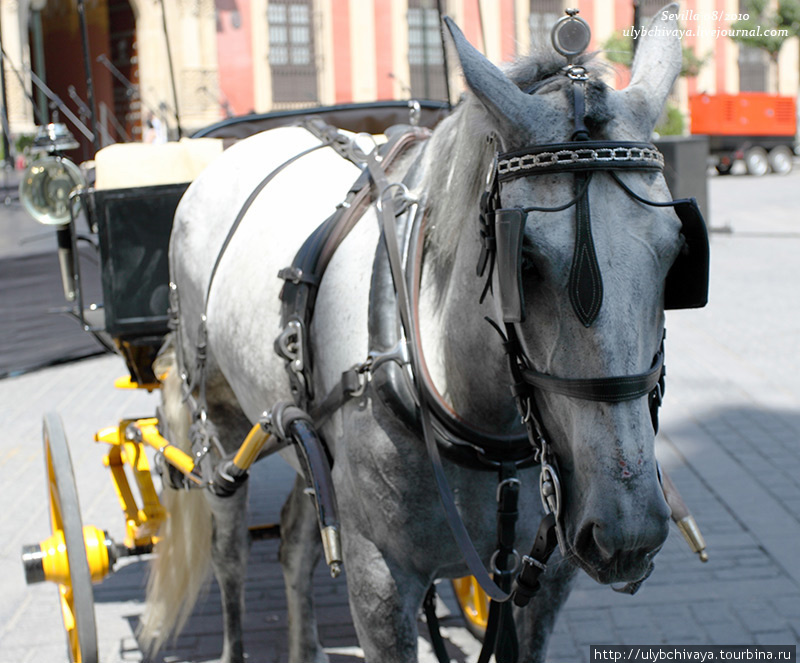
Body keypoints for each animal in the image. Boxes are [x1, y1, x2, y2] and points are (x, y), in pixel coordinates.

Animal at [141, 6, 684, 663]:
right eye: (523, 263)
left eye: (678, 254)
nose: (628, 530)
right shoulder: (379, 578)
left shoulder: (546, 577)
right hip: (218, 425)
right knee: (230, 554)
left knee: (295, 543)